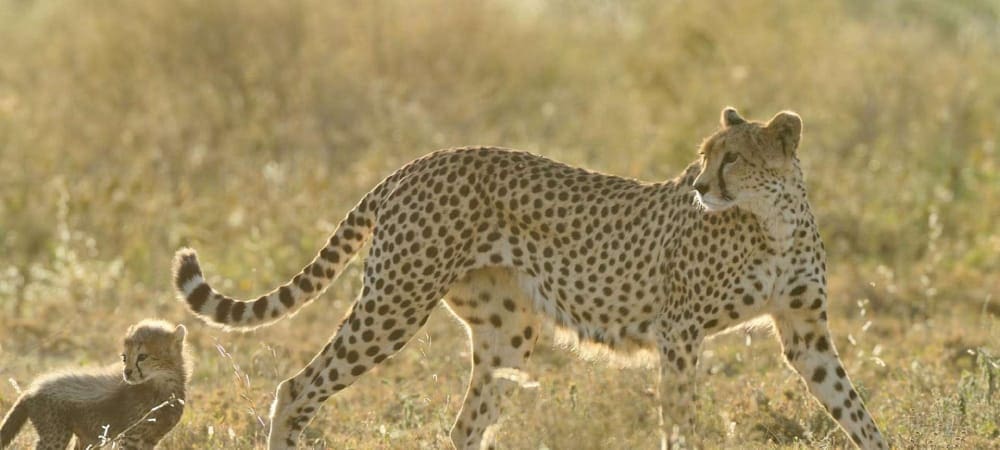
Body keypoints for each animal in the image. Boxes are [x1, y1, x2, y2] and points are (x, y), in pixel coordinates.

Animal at [1, 320, 189, 450]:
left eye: (142, 356)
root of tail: (31, 389)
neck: (162, 385)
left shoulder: (150, 439)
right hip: (55, 434)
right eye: (124, 357)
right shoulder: (131, 436)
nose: (127, 373)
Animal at [172, 107, 886, 449]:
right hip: (396, 303)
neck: (774, 219)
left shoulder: (805, 333)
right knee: (296, 387)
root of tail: (417, 161)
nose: (701, 187)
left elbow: (853, 408)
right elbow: (680, 417)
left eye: (731, 158)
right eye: (703, 158)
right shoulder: (680, 332)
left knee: (463, 427)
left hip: (506, 332)